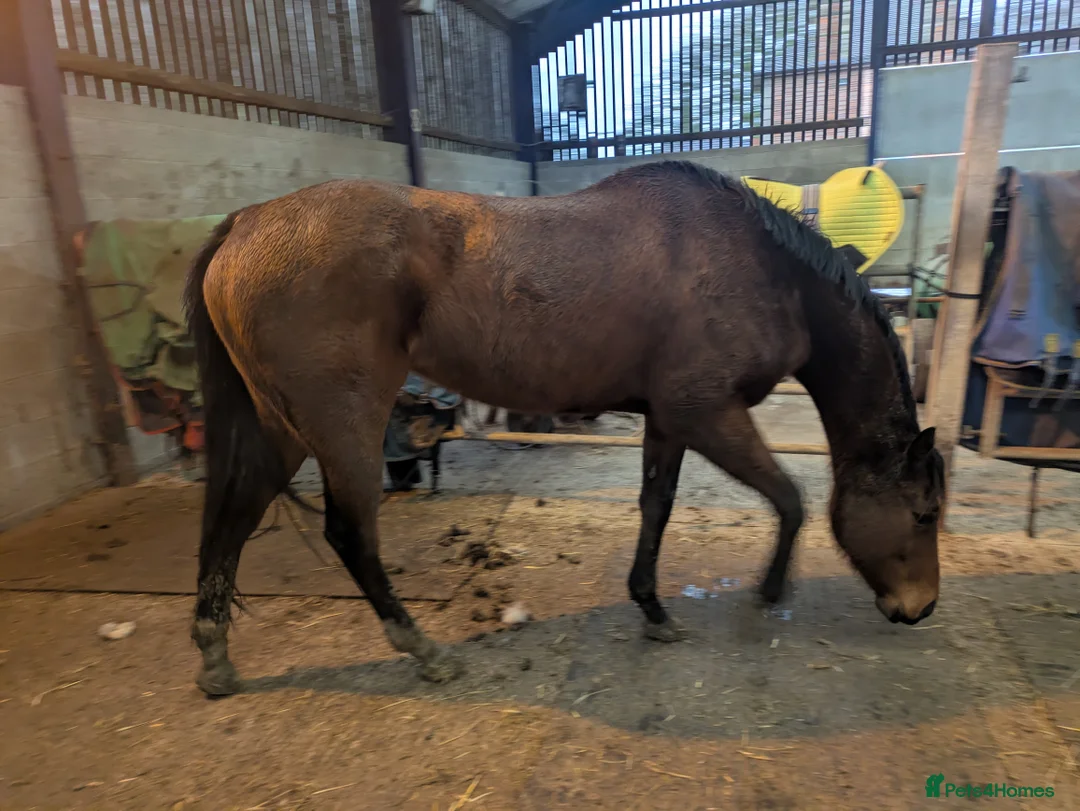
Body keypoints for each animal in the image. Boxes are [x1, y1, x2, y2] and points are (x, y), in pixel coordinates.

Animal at [184, 160, 945, 696]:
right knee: (348, 534)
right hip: (343, 423)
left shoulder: (668, 419)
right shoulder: (707, 413)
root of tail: (246, 224)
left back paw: (215, 656)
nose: (921, 608)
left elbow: (657, 506)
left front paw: (653, 609)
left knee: (233, 515)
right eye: (923, 512)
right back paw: (421, 650)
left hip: (278, 425)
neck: (763, 268)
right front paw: (767, 592)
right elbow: (790, 499)